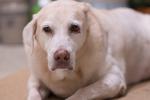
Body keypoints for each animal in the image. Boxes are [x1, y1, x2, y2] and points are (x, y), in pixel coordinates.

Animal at [22, 0, 150, 99]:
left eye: (74, 28)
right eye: (47, 29)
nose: (61, 55)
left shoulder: (114, 78)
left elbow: (82, 91)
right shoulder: (35, 80)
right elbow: (33, 93)